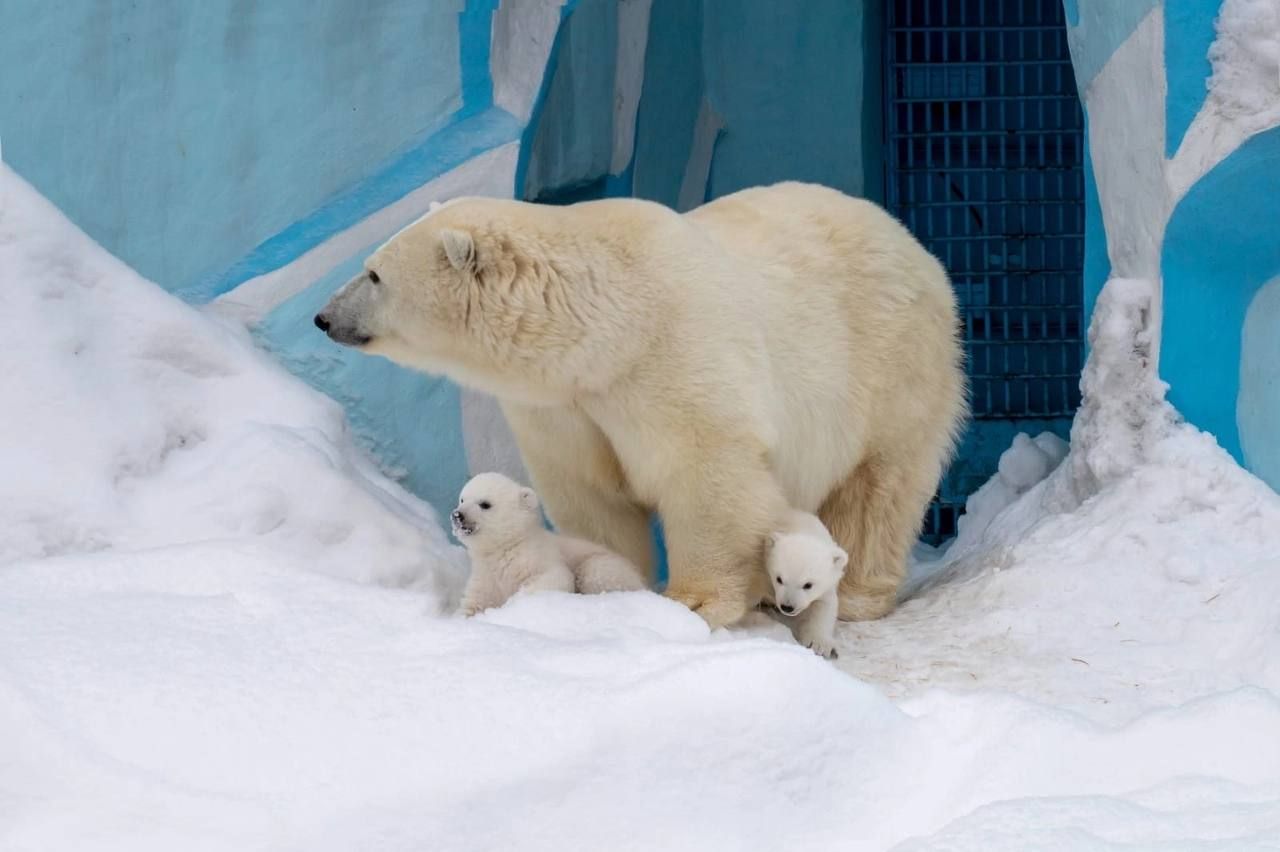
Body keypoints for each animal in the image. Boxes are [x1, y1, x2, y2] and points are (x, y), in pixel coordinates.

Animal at [317, 182, 962, 626]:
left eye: (374, 275)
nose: (323, 317)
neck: (607, 328)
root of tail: (912, 243)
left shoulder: (672, 358)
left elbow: (705, 472)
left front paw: (694, 600)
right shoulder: (563, 405)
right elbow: (588, 492)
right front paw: (614, 586)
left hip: (891, 361)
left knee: (879, 484)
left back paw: (853, 593)